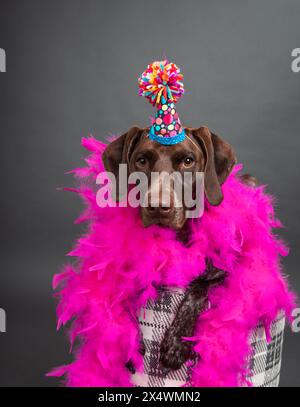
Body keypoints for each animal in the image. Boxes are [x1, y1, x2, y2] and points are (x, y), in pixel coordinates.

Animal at [102, 126, 253, 372]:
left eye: (188, 161)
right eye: (142, 160)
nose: (157, 207)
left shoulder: (226, 271)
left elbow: (198, 289)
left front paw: (177, 343)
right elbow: (123, 293)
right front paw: (129, 342)